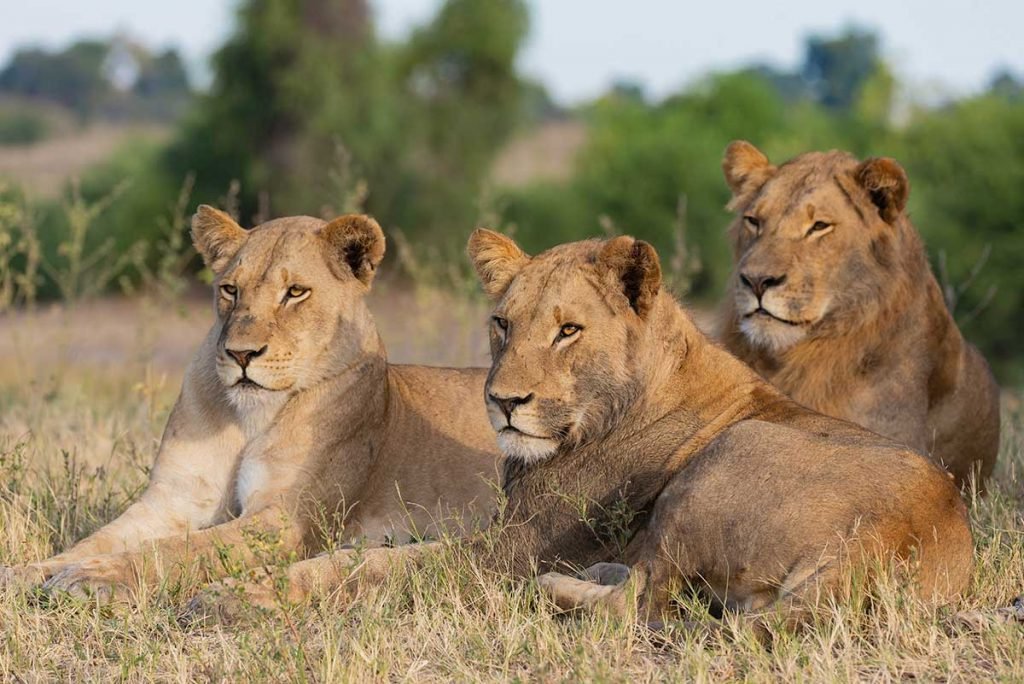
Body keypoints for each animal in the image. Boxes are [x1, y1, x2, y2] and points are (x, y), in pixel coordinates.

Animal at [0, 206, 501, 597]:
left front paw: (92, 578)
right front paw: (27, 572)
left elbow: (179, 550)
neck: (251, 418)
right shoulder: (174, 499)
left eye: (295, 292)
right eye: (230, 290)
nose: (241, 354)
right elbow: (98, 540)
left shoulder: (283, 521)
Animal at [185, 231, 974, 635]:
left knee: (639, 604)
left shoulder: (505, 551)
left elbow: (368, 567)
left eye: (568, 331)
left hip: (725, 457)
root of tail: (892, 533)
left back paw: (557, 589)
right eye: (502, 324)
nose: (503, 402)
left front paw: (235, 597)